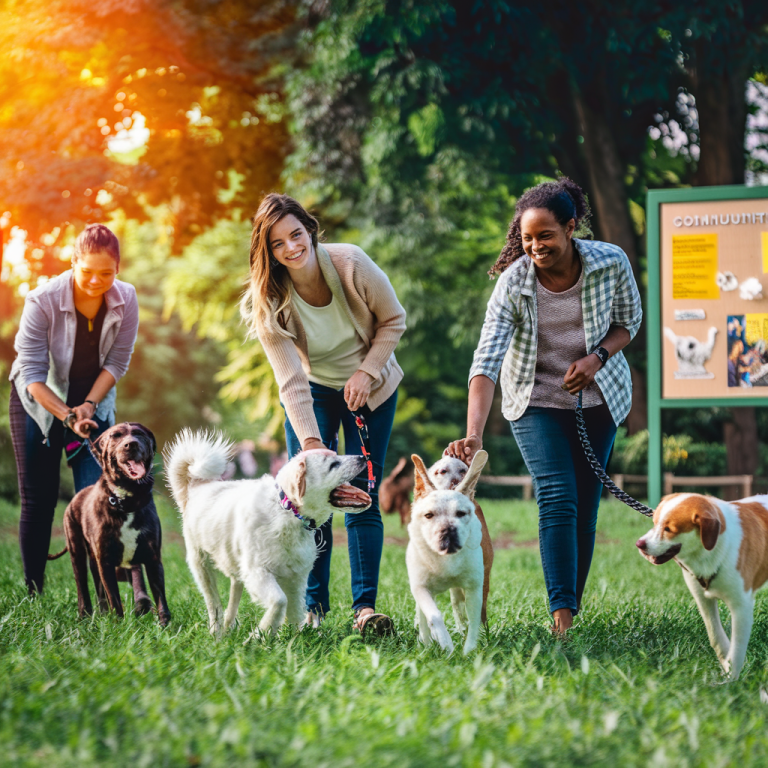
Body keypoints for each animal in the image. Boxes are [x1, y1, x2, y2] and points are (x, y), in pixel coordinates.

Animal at [48, 424, 171, 628]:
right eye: (115, 436)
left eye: (139, 434)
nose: (131, 444)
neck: (126, 501)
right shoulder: (105, 560)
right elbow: (115, 598)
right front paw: (119, 627)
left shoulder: (153, 557)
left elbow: (160, 597)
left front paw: (166, 628)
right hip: (77, 552)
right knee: (83, 588)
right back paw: (85, 617)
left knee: (103, 589)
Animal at [164, 428, 370, 640]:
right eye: (333, 464)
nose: (363, 456)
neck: (287, 511)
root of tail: (197, 487)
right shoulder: (258, 572)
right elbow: (279, 601)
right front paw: (259, 635)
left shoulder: (296, 579)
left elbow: (294, 612)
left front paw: (294, 639)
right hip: (202, 566)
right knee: (214, 605)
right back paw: (217, 633)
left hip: (237, 568)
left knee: (233, 595)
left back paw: (229, 627)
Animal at [404, 450, 488, 656]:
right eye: (428, 515)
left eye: (461, 513)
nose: (448, 530)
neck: (445, 561)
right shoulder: (421, 588)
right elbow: (434, 615)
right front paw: (446, 644)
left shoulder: (474, 588)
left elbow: (473, 619)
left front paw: (468, 651)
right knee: (424, 617)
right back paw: (426, 643)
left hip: (461, 591)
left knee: (460, 610)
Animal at [636, 492, 768, 680]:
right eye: (654, 523)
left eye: (668, 529)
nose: (639, 544)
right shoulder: (702, 598)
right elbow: (715, 636)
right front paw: (725, 663)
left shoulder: (741, 606)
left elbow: (737, 648)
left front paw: (732, 680)